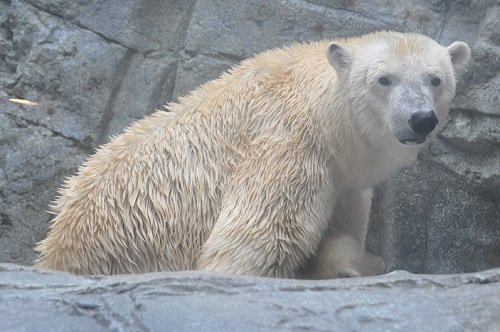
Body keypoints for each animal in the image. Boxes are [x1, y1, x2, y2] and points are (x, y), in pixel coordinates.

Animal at [34, 32, 468, 278]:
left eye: (435, 79)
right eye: (384, 79)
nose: (420, 119)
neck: (321, 111)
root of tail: (57, 244)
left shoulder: (344, 181)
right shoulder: (287, 147)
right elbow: (252, 241)